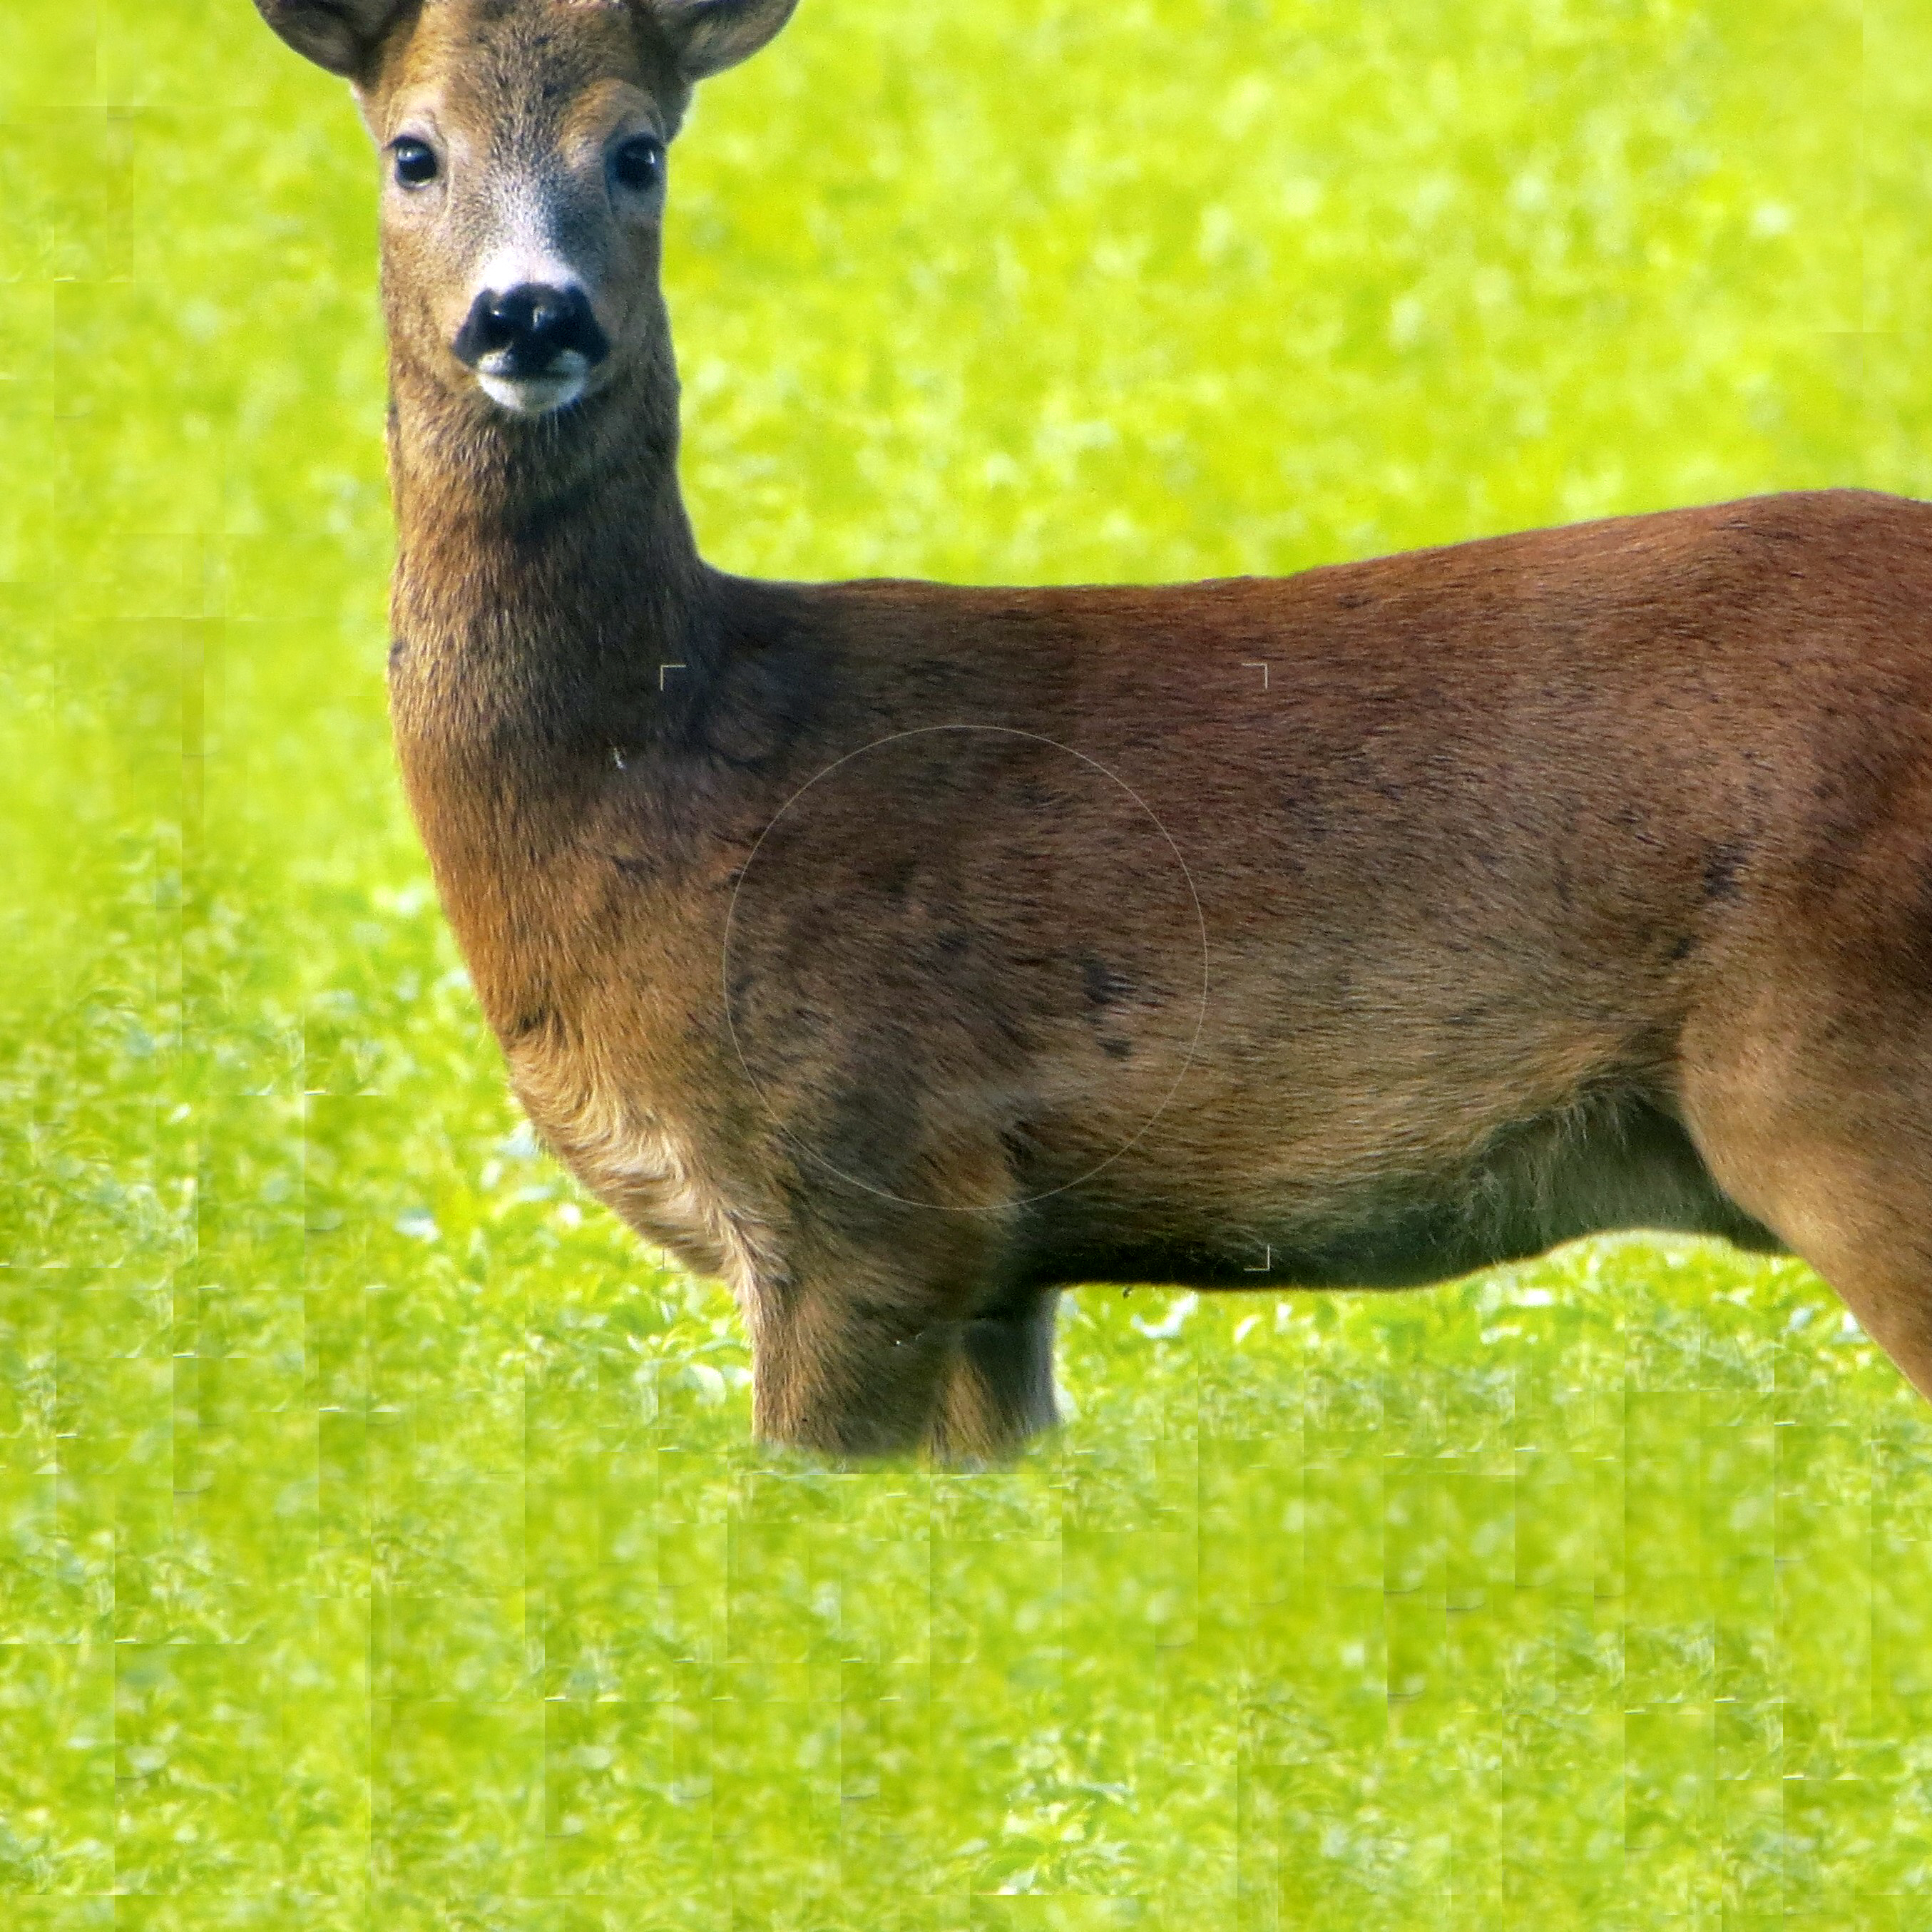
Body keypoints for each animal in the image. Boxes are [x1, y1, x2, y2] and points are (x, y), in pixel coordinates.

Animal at [255, 0, 1932, 1461]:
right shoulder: (995, 1261)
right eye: (413, 150)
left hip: (1838, 1069)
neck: (665, 770)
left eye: (638, 148)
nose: (530, 310)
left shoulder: (865, 1177)